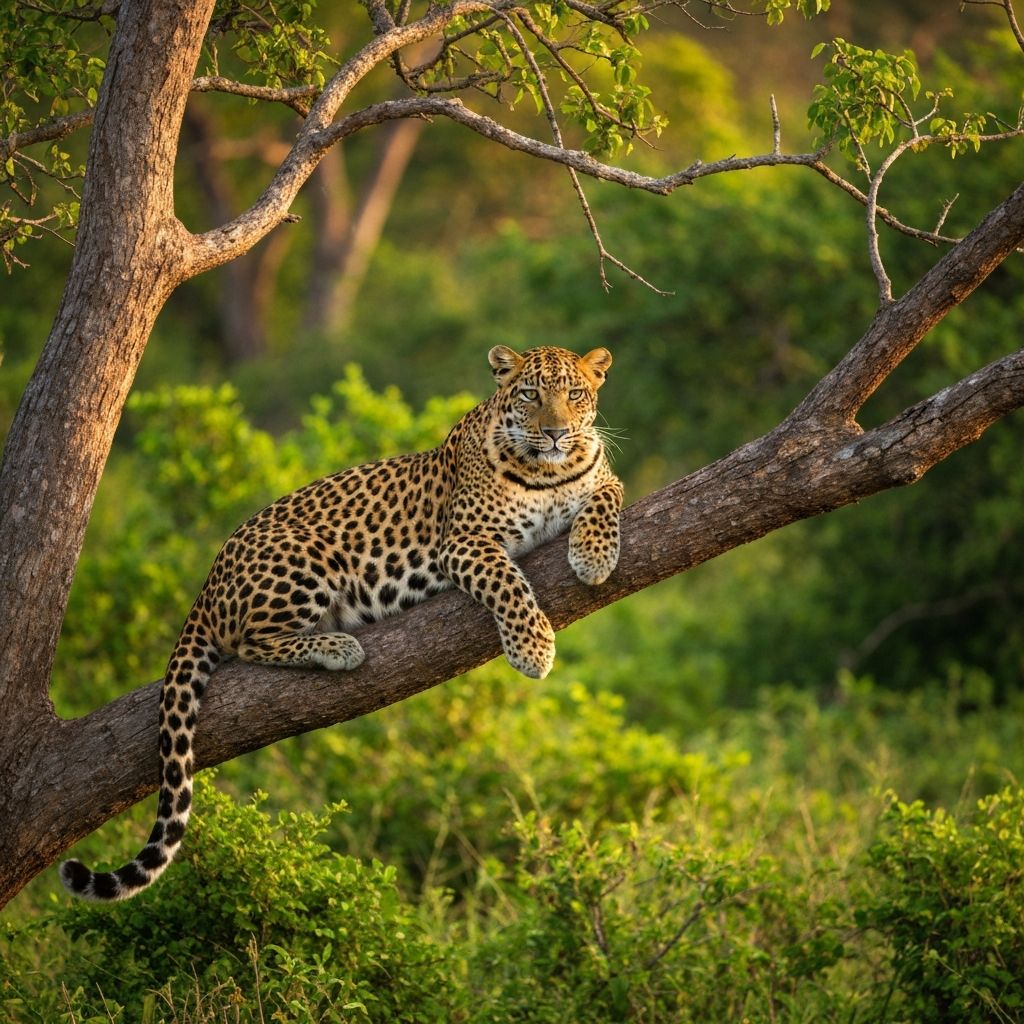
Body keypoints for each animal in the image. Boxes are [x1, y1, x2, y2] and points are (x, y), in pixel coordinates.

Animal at [60, 344, 623, 901]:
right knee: (248, 640)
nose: (556, 432)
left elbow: (607, 496)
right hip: (304, 558)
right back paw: (336, 647)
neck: (547, 474)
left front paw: (594, 555)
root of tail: (207, 583)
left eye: (575, 395)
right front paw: (533, 649)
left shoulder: (602, 480)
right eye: (530, 395)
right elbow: (508, 583)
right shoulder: (465, 541)